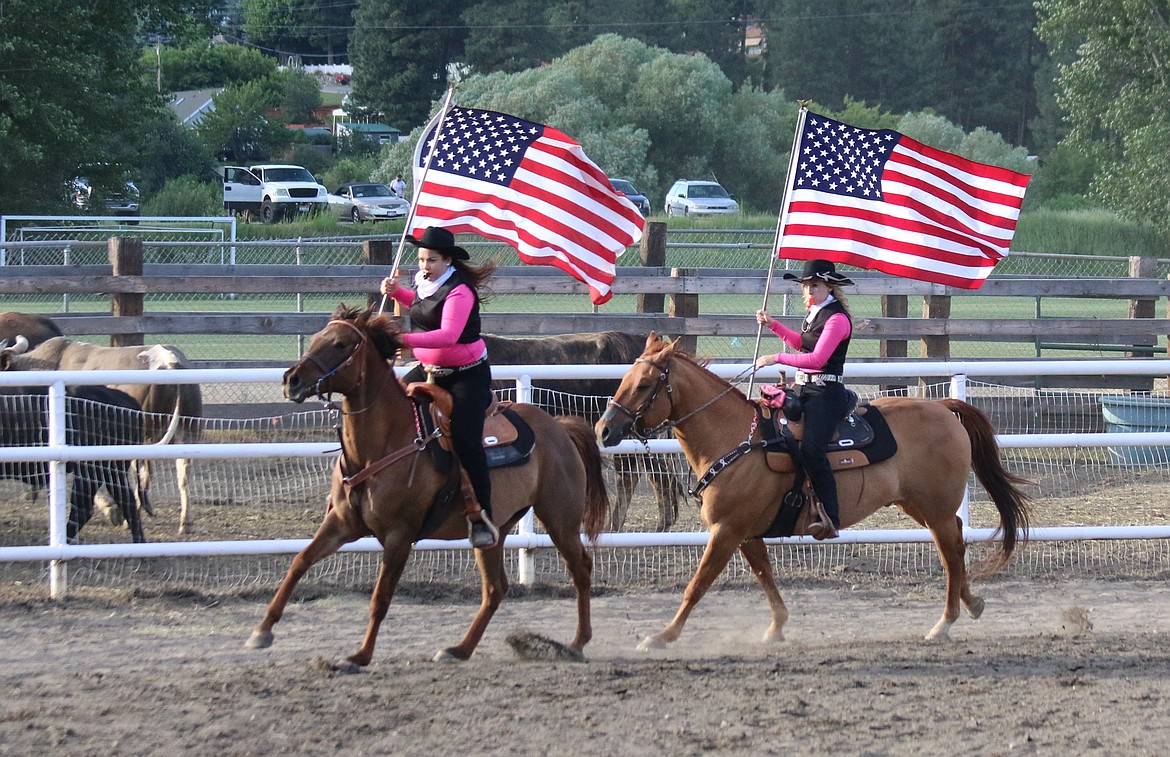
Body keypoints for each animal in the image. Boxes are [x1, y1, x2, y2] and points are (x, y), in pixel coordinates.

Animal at [249, 308, 613, 669]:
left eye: (339, 344)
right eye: (315, 339)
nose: (292, 380)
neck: (382, 444)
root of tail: (560, 428)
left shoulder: (399, 536)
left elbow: (381, 598)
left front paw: (359, 656)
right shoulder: (341, 524)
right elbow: (300, 562)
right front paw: (262, 631)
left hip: (560, 519)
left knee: (581, 569)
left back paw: (577, 642)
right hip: (494, 532)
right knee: (495, 589)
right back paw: (458, 650)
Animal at [599, 334, 1029, 650]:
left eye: (644, 384)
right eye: (624, 379)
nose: (604, 430)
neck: (737, 438)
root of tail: (942, 406)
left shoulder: (726, 531)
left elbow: (697, 585)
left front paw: (661, 637)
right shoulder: (746, 533)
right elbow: (765, 576)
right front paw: (776, 628)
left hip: (934, 509)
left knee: (951, 554)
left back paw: (943, 624)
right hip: (918, 506)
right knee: (956, 540)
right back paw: (972, 604)